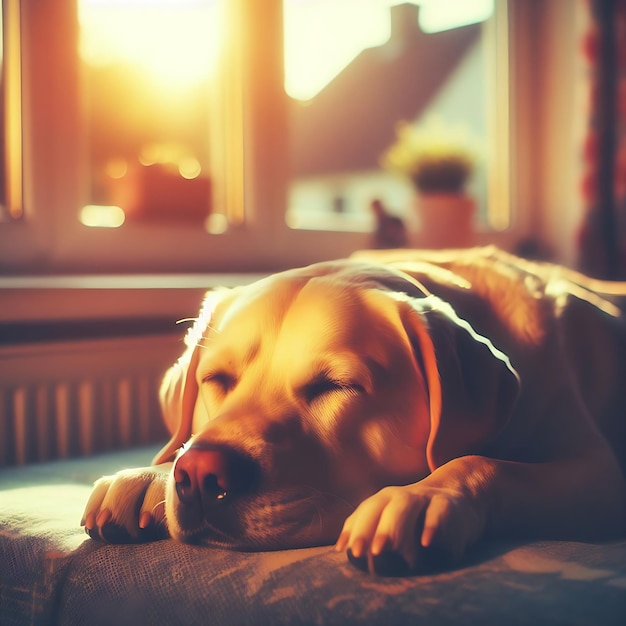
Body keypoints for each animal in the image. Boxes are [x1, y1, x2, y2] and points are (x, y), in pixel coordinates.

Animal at [83, 246, 624, 572]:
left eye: (335, 386)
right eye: (217, 380)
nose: (200, 476)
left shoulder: (598, 477)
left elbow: (484, 462)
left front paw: (419, 496)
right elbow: (177, 446)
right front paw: (147, 477)